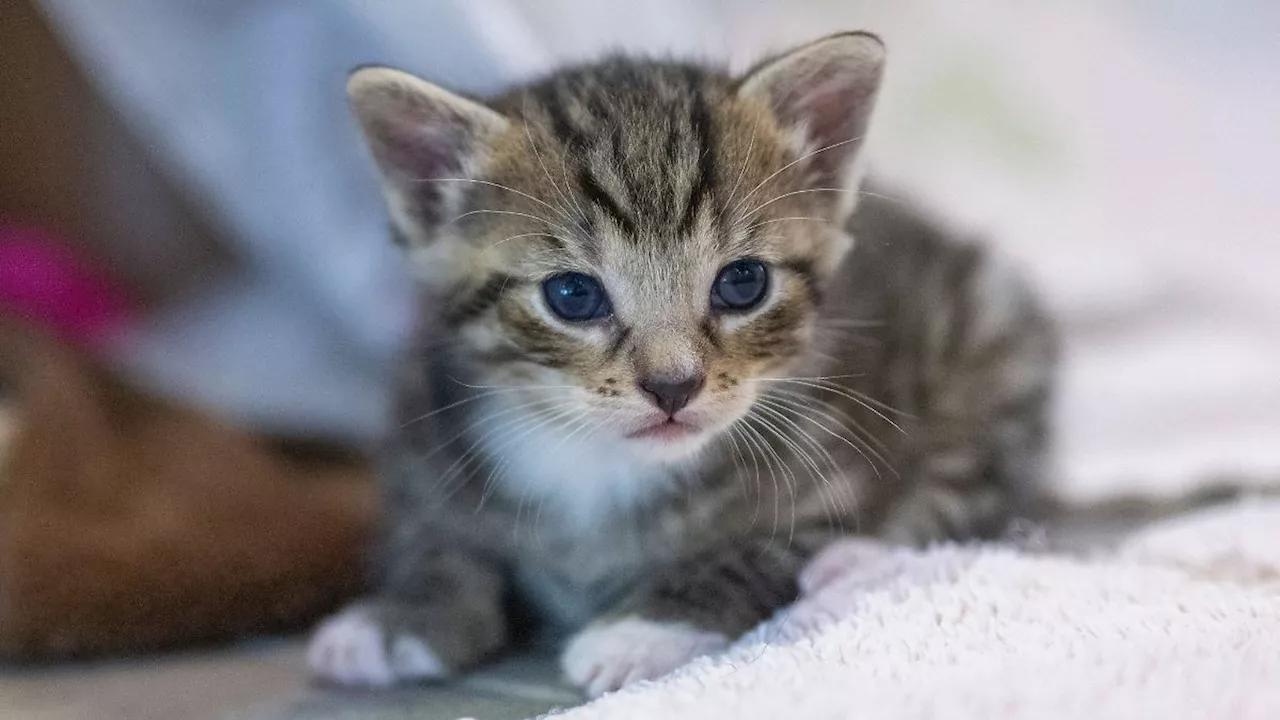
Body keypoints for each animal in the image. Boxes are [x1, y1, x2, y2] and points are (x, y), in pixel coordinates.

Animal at [309, 32, 1059, 696]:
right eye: (572, 295)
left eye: (743, 283)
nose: (674, 385)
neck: (597, 465)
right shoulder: (423, 441)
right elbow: (433, 538)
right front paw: (400, 618)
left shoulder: (839, 469)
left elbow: (753, 551)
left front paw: (644, 629)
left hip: (995, 346)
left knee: (969, 497)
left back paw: (854, 574)